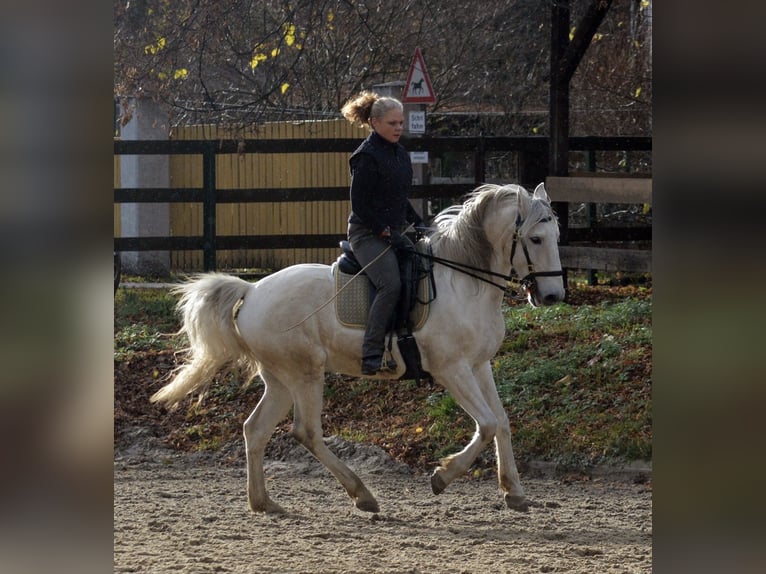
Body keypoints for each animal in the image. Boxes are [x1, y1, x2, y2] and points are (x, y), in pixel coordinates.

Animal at [153, 186, 568, 516]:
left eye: (556, 236)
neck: (466, 282)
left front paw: (513, 491)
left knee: (255, 430)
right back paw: (362, 495)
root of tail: (252, 290)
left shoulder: (480, 365)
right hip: (305, 373)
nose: (552, 296)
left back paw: (264, 503)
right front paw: (442, 476)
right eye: (535, 239)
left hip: (281, 379)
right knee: (306, 432)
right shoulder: (452, 369)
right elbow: (487, 423)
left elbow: (502, 421)